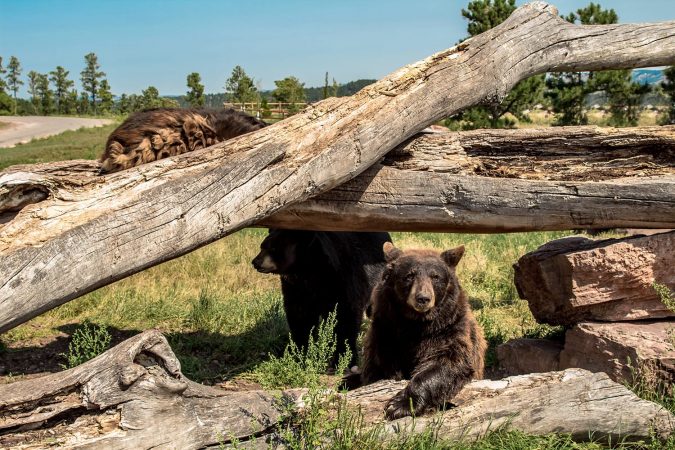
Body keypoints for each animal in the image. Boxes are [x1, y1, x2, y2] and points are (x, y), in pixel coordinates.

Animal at [252, 229, 392, 365]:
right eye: (262, 246)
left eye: (273, 248)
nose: (255, 262)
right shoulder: (295, 289)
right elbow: (299, 315)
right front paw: (299, 352)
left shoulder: (342, 280)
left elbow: (345, 315)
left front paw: (343, 358)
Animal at [361, 242, 486, 420]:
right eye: (409, 275)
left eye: (435, 276)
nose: (423, 298)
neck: (416, 323)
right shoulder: (386, 330)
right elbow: (381, 364)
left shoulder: (449, 329)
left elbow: (447, 361)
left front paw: (400, 405)